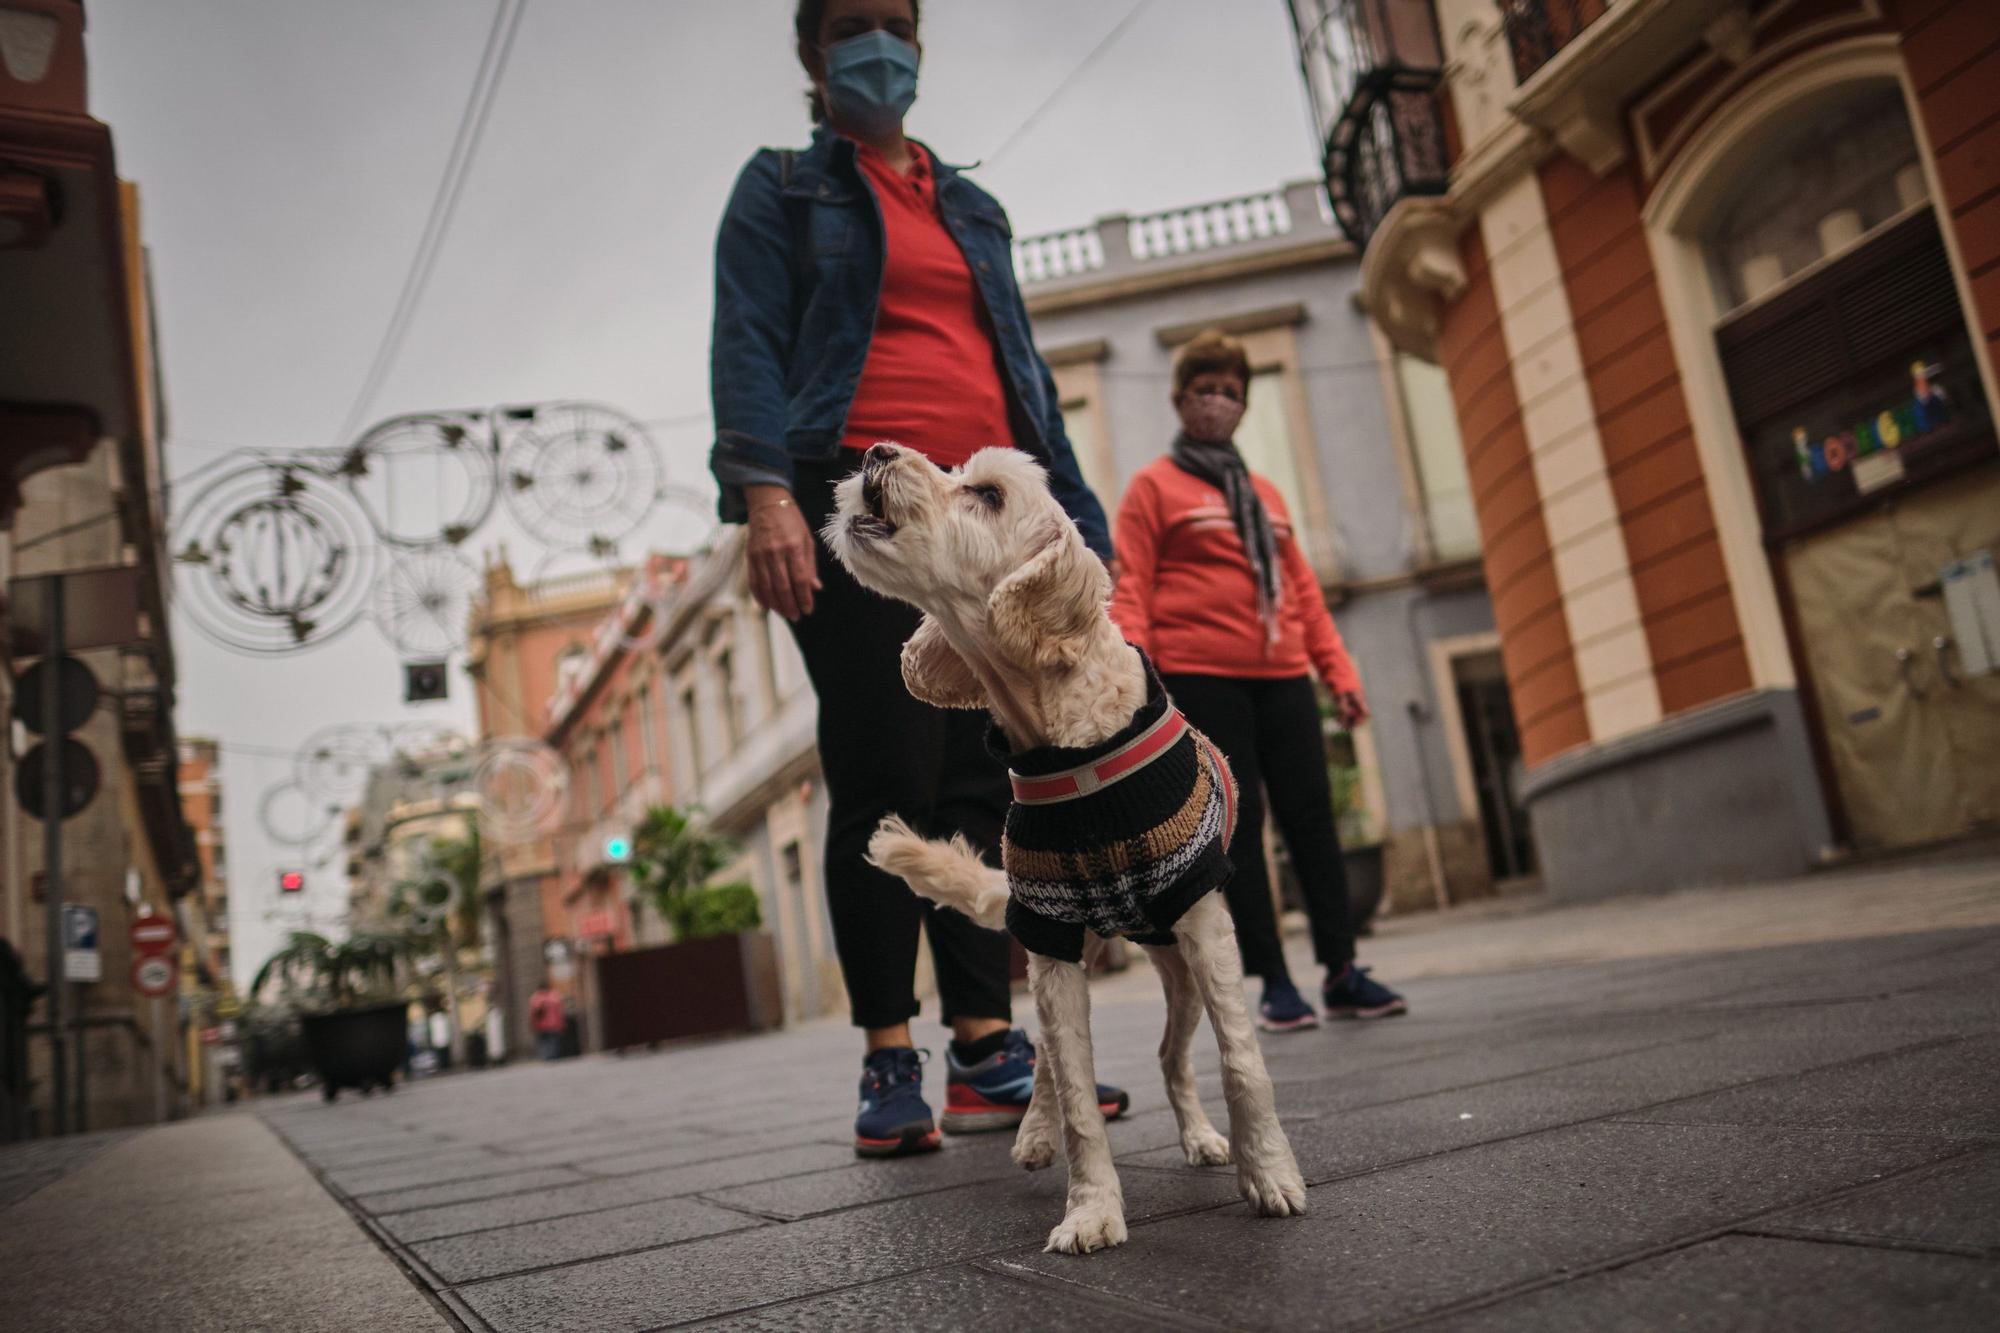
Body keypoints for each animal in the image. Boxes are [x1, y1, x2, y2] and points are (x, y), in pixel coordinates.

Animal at [820, 440, 1304, 1248]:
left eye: (985, 493)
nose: (877, 451)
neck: (1065, 742)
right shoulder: (1047, 940)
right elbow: (1078, 1096)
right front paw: (1092, 1209)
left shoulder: (1207, 926)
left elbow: (1243, 1060)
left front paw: (1269, 1173)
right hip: (1064, 960)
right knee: (1052, 1059)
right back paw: (1034, 1131)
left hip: (1179, 974)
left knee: (1173, 1058)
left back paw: (1203, 1137)